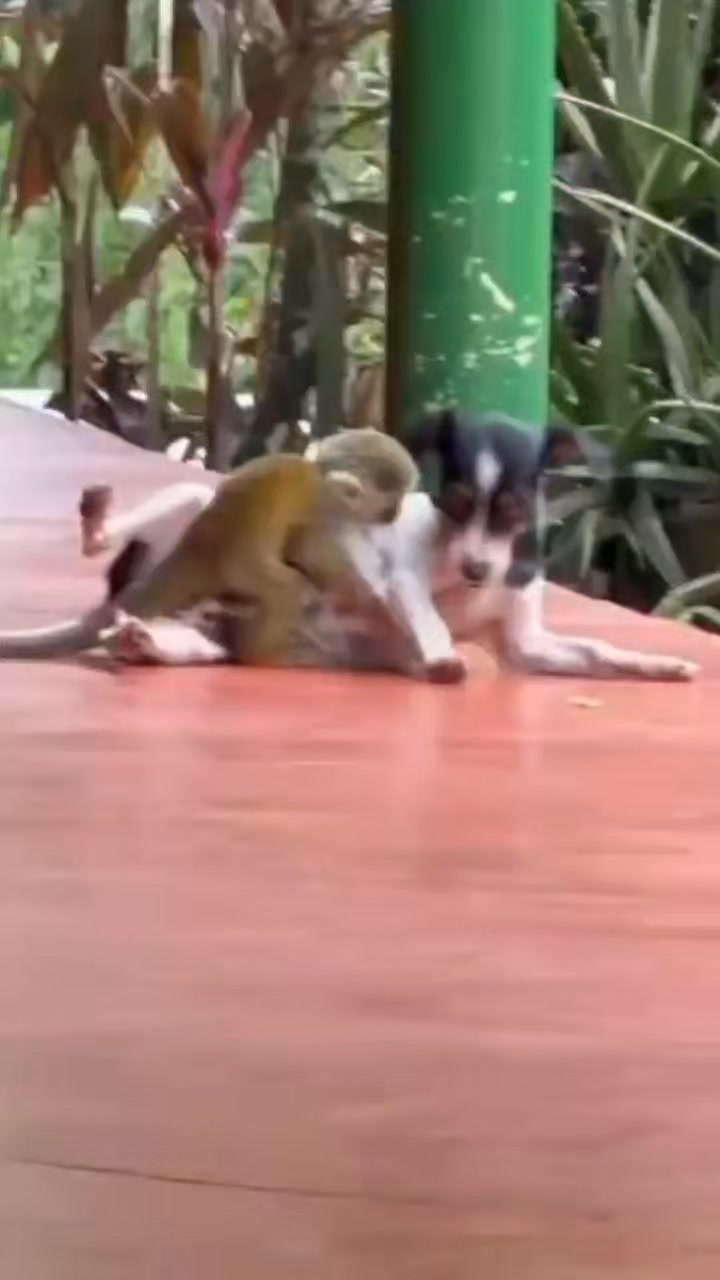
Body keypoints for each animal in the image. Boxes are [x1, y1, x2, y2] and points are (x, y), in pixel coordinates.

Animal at [0, 429, 420, 663]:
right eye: (391, 505)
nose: (395, 514)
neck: (318, 473)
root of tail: (198, 553)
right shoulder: (326, 516)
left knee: (196, 498)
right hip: (241, 569)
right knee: (287, 587)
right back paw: (260, 654)